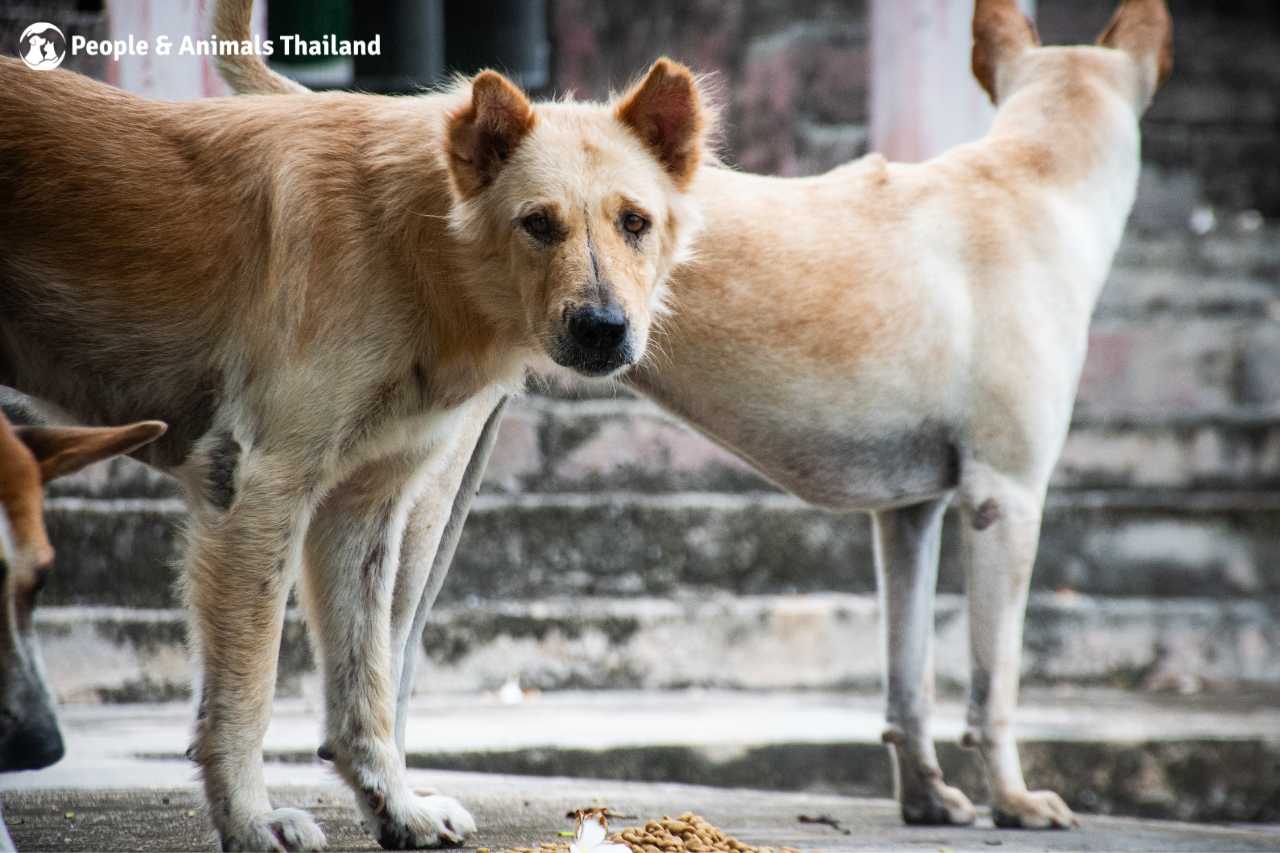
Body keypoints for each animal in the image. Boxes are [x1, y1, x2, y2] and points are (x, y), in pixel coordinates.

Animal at [0, 9, 716, 845]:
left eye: (635, 223)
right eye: (537, 224)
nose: (604, 329)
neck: (410, 241)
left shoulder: (363, 506)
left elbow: (365, 681)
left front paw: (395, 807)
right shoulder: (261, 491)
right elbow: (247, 690)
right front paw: (249, 821)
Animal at [368, 0, 1172, 829]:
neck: (1033, 173)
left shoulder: (910, 513)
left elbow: (910, 677)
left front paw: (926, 796)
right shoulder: (1004, 499)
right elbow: (995, 684)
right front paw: (1014, 799)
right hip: (428, 482)